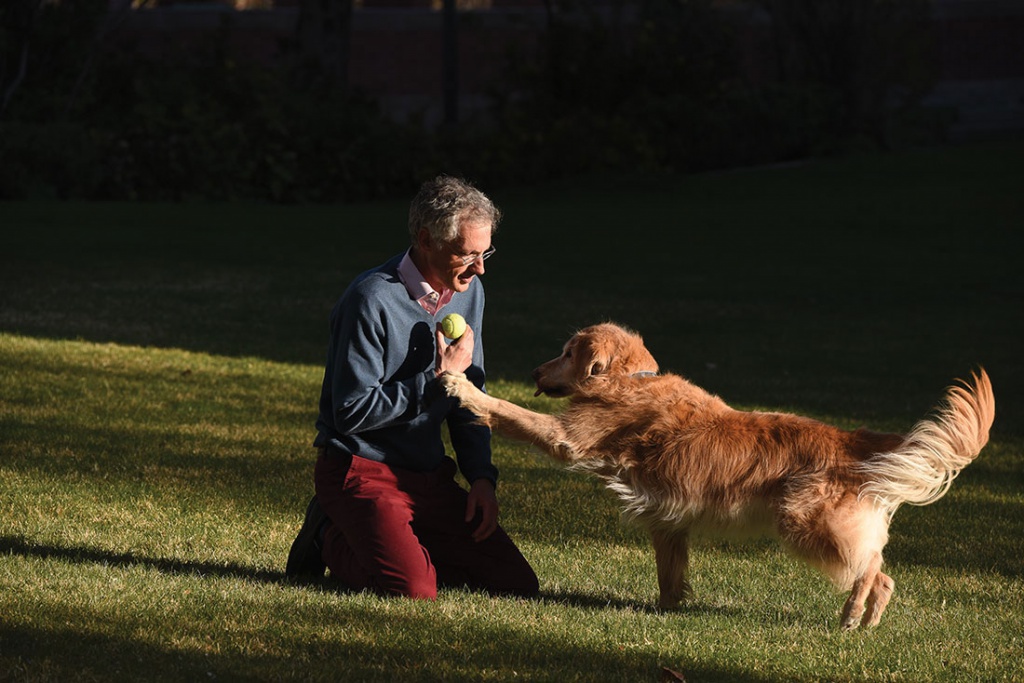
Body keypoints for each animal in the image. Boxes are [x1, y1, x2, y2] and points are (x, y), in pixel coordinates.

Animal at [438, 323, 991, 634]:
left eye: (568, 352)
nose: (533, 372)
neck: (629, 381)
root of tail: (853, 438)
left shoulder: (566, 437)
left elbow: (507, 411)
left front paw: (463, 386)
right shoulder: (668, 518)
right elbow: (670, 573)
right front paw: (666, 611)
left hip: (807, 525)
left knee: (875, 569)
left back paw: (855, 612)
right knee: (882, 571)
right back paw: (866, 621)